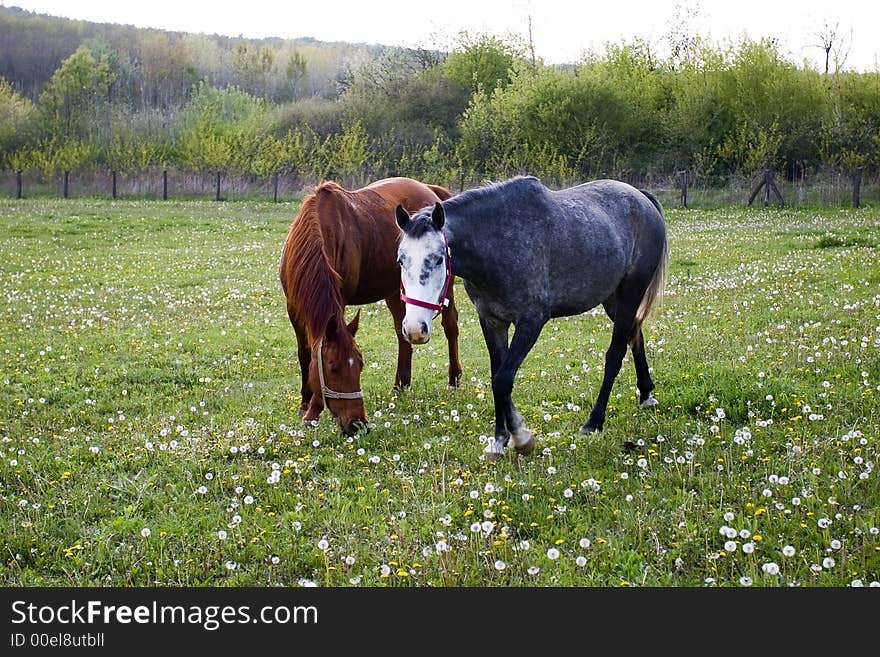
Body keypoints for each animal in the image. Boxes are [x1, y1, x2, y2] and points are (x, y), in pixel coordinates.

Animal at [278, 177, 464, 434]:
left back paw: (453, 380)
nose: (357, 424)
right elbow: (305, 354)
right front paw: (306, 403)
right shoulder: (293, 308)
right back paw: (400, 385)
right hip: (397, 292)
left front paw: (313, 410)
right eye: (333, 368)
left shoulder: (339, 301)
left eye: (360, 365)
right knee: (402, 333)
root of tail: (429, 190)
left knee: (450, 327)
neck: (318, 229)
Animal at [394, 177, 668, 458]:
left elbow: (503, 379)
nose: (414, 329)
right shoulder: (492, 322)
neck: (497, 244)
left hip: (630, 295)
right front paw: (499, 440)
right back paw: (646, 394)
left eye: (438, 259)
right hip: (613, 300)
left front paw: (521, 437)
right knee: (635, 337)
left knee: (615, 355)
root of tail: (642, 198)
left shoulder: (531, 322)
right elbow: (496, 376)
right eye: (401, 260)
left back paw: (593, 422)